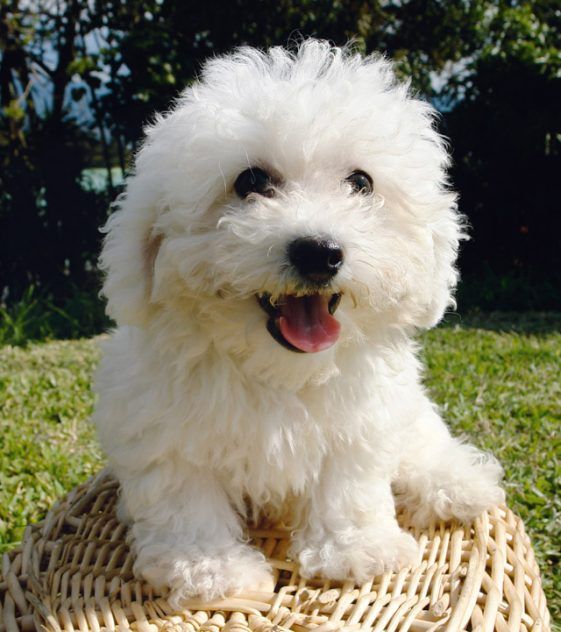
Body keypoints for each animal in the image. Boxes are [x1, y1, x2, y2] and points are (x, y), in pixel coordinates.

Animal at [92, 40, 504, 608]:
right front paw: (211, 571)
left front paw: (356, 550)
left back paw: (458, 483)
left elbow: (347, 484)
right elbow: (187, 501)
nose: (319, 252)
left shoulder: (360, 424)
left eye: (360, 183)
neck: (278, 370)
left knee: (421, 438)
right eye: (250, 182)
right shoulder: (162, 433)